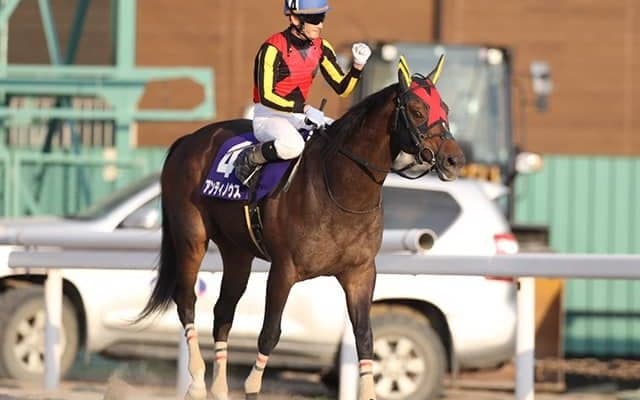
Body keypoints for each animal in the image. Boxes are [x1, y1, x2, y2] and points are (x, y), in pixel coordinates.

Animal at [136, 55, 465, 400]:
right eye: (417, 110)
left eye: (445, 108)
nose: (454, 160)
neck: (340, 189)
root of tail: (188, 140)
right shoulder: (284, 269)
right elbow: (269, 333)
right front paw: (252, 386)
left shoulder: (360, 273)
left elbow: (365, 337)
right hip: (192, 237)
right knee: (186, 300)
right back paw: (198, 382)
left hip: (237, 252)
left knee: (223, 312)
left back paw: (219, 388)